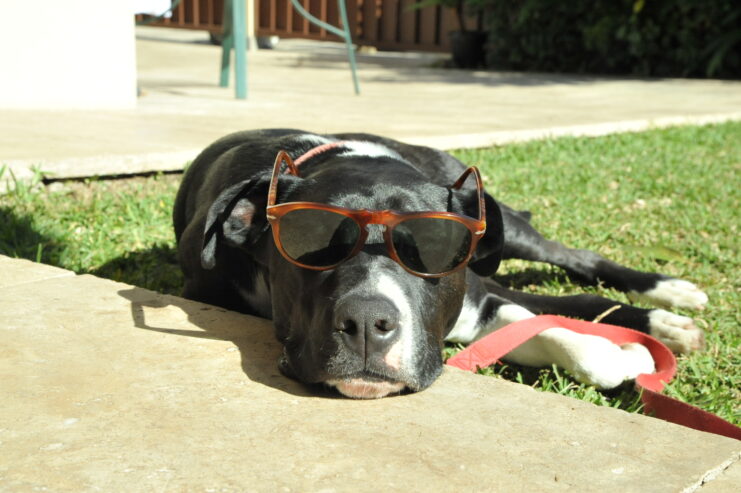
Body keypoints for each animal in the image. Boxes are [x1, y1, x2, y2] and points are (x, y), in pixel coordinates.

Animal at [173, 129, 704, 398]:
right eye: (310, 243)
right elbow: (537, 323)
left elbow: (546, 325)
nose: (367, 323)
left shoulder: (475, 299)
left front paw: (618, 351)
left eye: (431, 247)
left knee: (576, 262)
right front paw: (623, 351)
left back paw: (666, 301)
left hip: (508, 228)